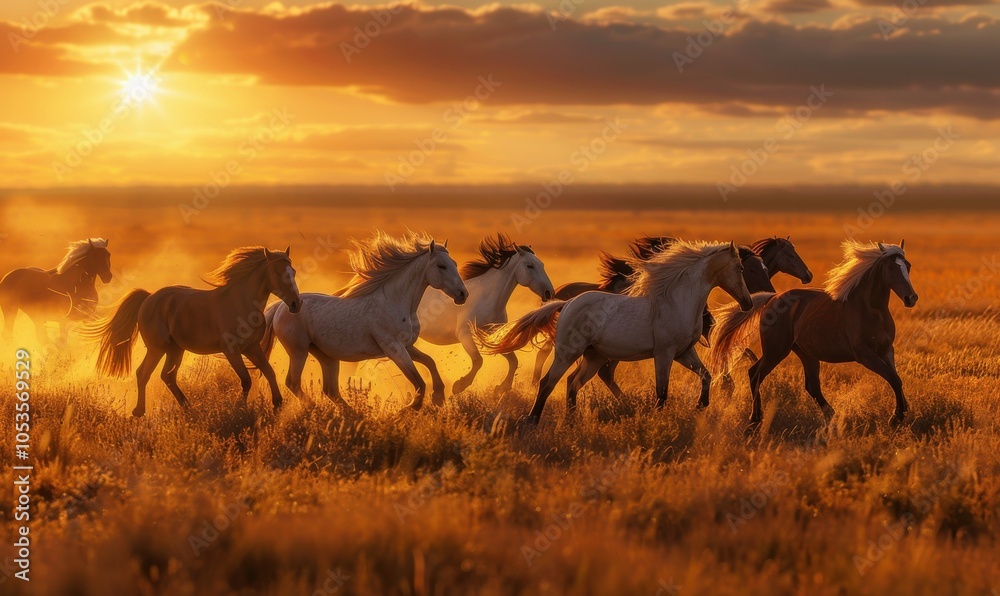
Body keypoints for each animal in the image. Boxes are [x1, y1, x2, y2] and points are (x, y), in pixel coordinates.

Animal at [87, 247, 302, 417]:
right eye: (278, 273)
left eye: (293, 271)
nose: (295, 304)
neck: (241, 302)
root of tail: (149, 297)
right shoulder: (232, 351)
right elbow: (246, 380)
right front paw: (240, 409)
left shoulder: (252, 348)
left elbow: (269, 372)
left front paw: (277, 404)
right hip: (157, 349)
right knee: (143, 373)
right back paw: (140, 411)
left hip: (175, 350)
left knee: (167, 376)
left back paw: (189, 407)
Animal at [261, 232, 468, 411]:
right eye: (441, 266)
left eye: (454, 263)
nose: (462, 294)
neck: (395, 301)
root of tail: (280, 307)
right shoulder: (393, 348)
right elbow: (419, 382)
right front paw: (408, 410)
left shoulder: (407, 346)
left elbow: (430, 363)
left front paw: (438, 397)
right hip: (299, 351)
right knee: (293, 382)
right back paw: (315, 409)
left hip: (325, 356)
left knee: (330, 390)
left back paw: (354, 415)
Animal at [416, 233, 554, 395]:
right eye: (530, 266)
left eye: (542, 265)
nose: (549, 293)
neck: (488, 299)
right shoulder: (464, 333)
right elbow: (478, 360)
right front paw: (460, 385)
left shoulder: (491, 335)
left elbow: (513, 361)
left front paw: (501, 388)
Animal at [479, 241, 753, 423]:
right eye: (740, 268)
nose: (748, 303)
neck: (677, 300)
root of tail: (567, 304)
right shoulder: (664, 354)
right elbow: (662, 393)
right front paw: (658, 420)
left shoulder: (684, 353)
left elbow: (706, 376)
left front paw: (700, 406)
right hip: (568, 353)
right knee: (548, 382)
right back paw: (532, 420)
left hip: (594, 356)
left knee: (572, 382)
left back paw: (572, 420)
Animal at [709, 240, 917, 427]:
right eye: (891, 267)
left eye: (907, 266)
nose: (911, 298)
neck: (870, 309)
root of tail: (772, 298)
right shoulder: (865, 355)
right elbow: (892, 378)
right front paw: (896, 416)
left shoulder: (887, 350)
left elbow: (896, 378)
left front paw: (903, 411)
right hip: (776, 350)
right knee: (754, 374)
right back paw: (755, 418)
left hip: (806, 353)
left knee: (812, 386)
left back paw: (830, 415)